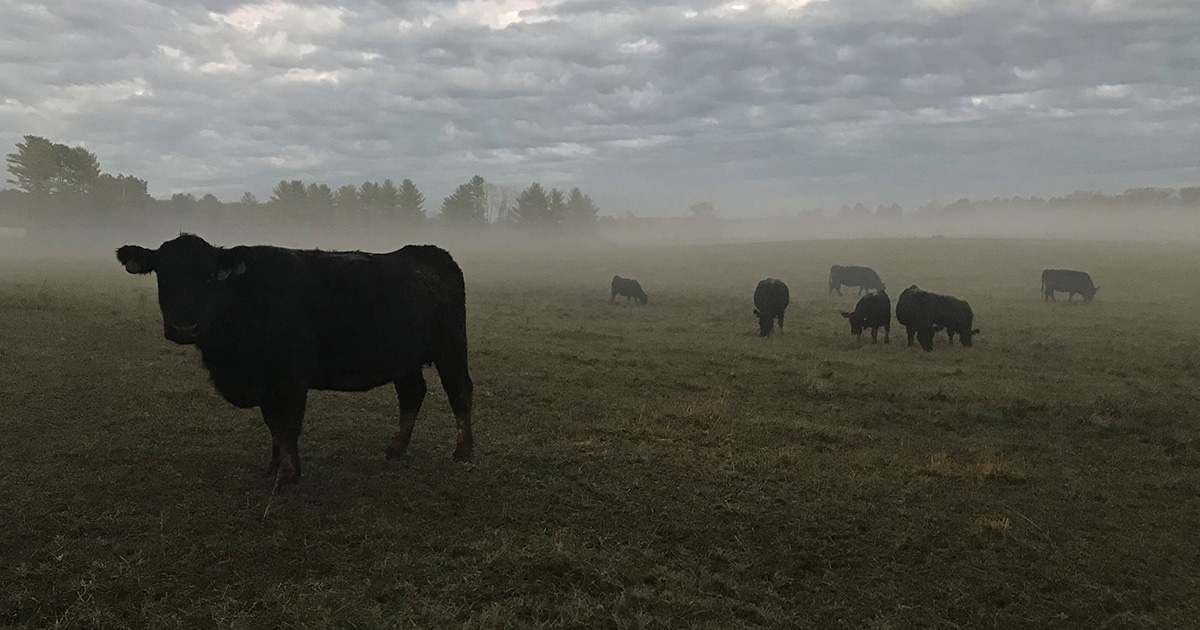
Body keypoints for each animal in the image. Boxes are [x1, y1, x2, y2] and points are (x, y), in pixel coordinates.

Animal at [115, 232, 472, 484]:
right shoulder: (266, 383)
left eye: (209, 276)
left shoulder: (290, 378)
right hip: (405, 359)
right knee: (412, 394)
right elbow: (273, 424)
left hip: (452, 347)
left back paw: (463, 452)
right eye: (163, 275)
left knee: (460, 392)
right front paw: (273, 468)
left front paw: (288, 475)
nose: (184, 326)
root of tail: (429, 252)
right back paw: (397, 448)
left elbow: (287, 424)